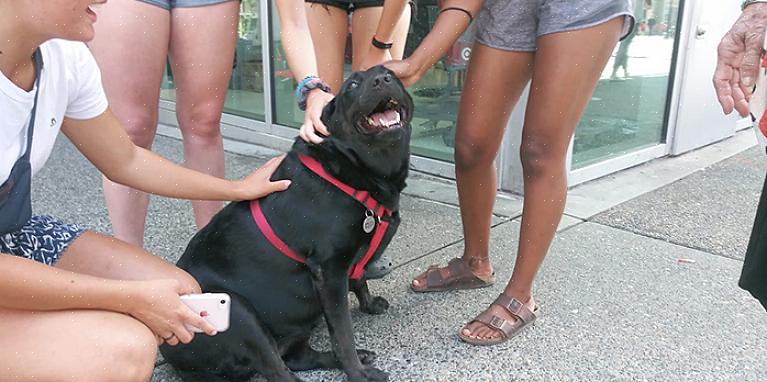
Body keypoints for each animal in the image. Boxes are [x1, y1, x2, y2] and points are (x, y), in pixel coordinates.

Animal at [160, 66, 414, 382]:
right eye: (353, 85)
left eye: (391, 73)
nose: (382, 80)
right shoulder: (329, 271)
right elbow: (343, 333)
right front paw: (357, 372)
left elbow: (360, 280)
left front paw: (368, 305)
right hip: (237, 311)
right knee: (277, 369)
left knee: (296, 357)